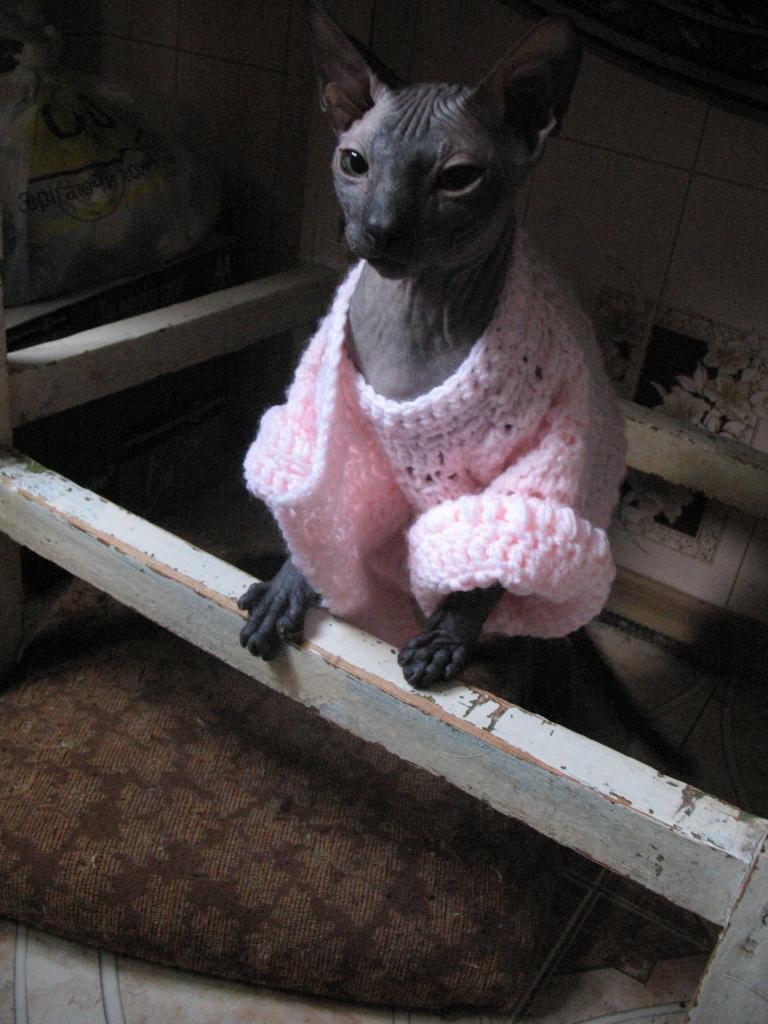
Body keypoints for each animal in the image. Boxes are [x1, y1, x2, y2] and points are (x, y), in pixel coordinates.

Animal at [237, 0, 629, 702]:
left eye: (458, 179)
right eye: (355, 162)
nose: (380, 228)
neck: (414, 315)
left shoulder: (544, 453)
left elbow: (491, 558)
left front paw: (447, 636)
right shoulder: (333, 423)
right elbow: (323, 511)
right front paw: (288, 584)